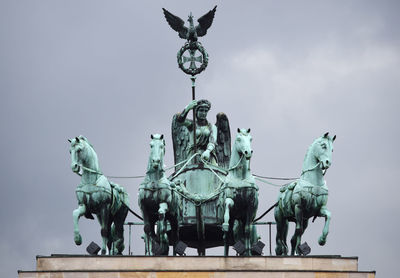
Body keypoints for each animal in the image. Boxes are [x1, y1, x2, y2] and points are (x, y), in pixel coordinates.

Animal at [219, 128, 260, 256]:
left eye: (251, 139)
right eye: (238, 139)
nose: (248, 152)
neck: (240, 177)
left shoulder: (250, 206)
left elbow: (247, 231)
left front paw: (248, 253)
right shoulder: (231, 201)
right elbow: (228, 204)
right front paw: (225, 224)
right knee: (226, 237)